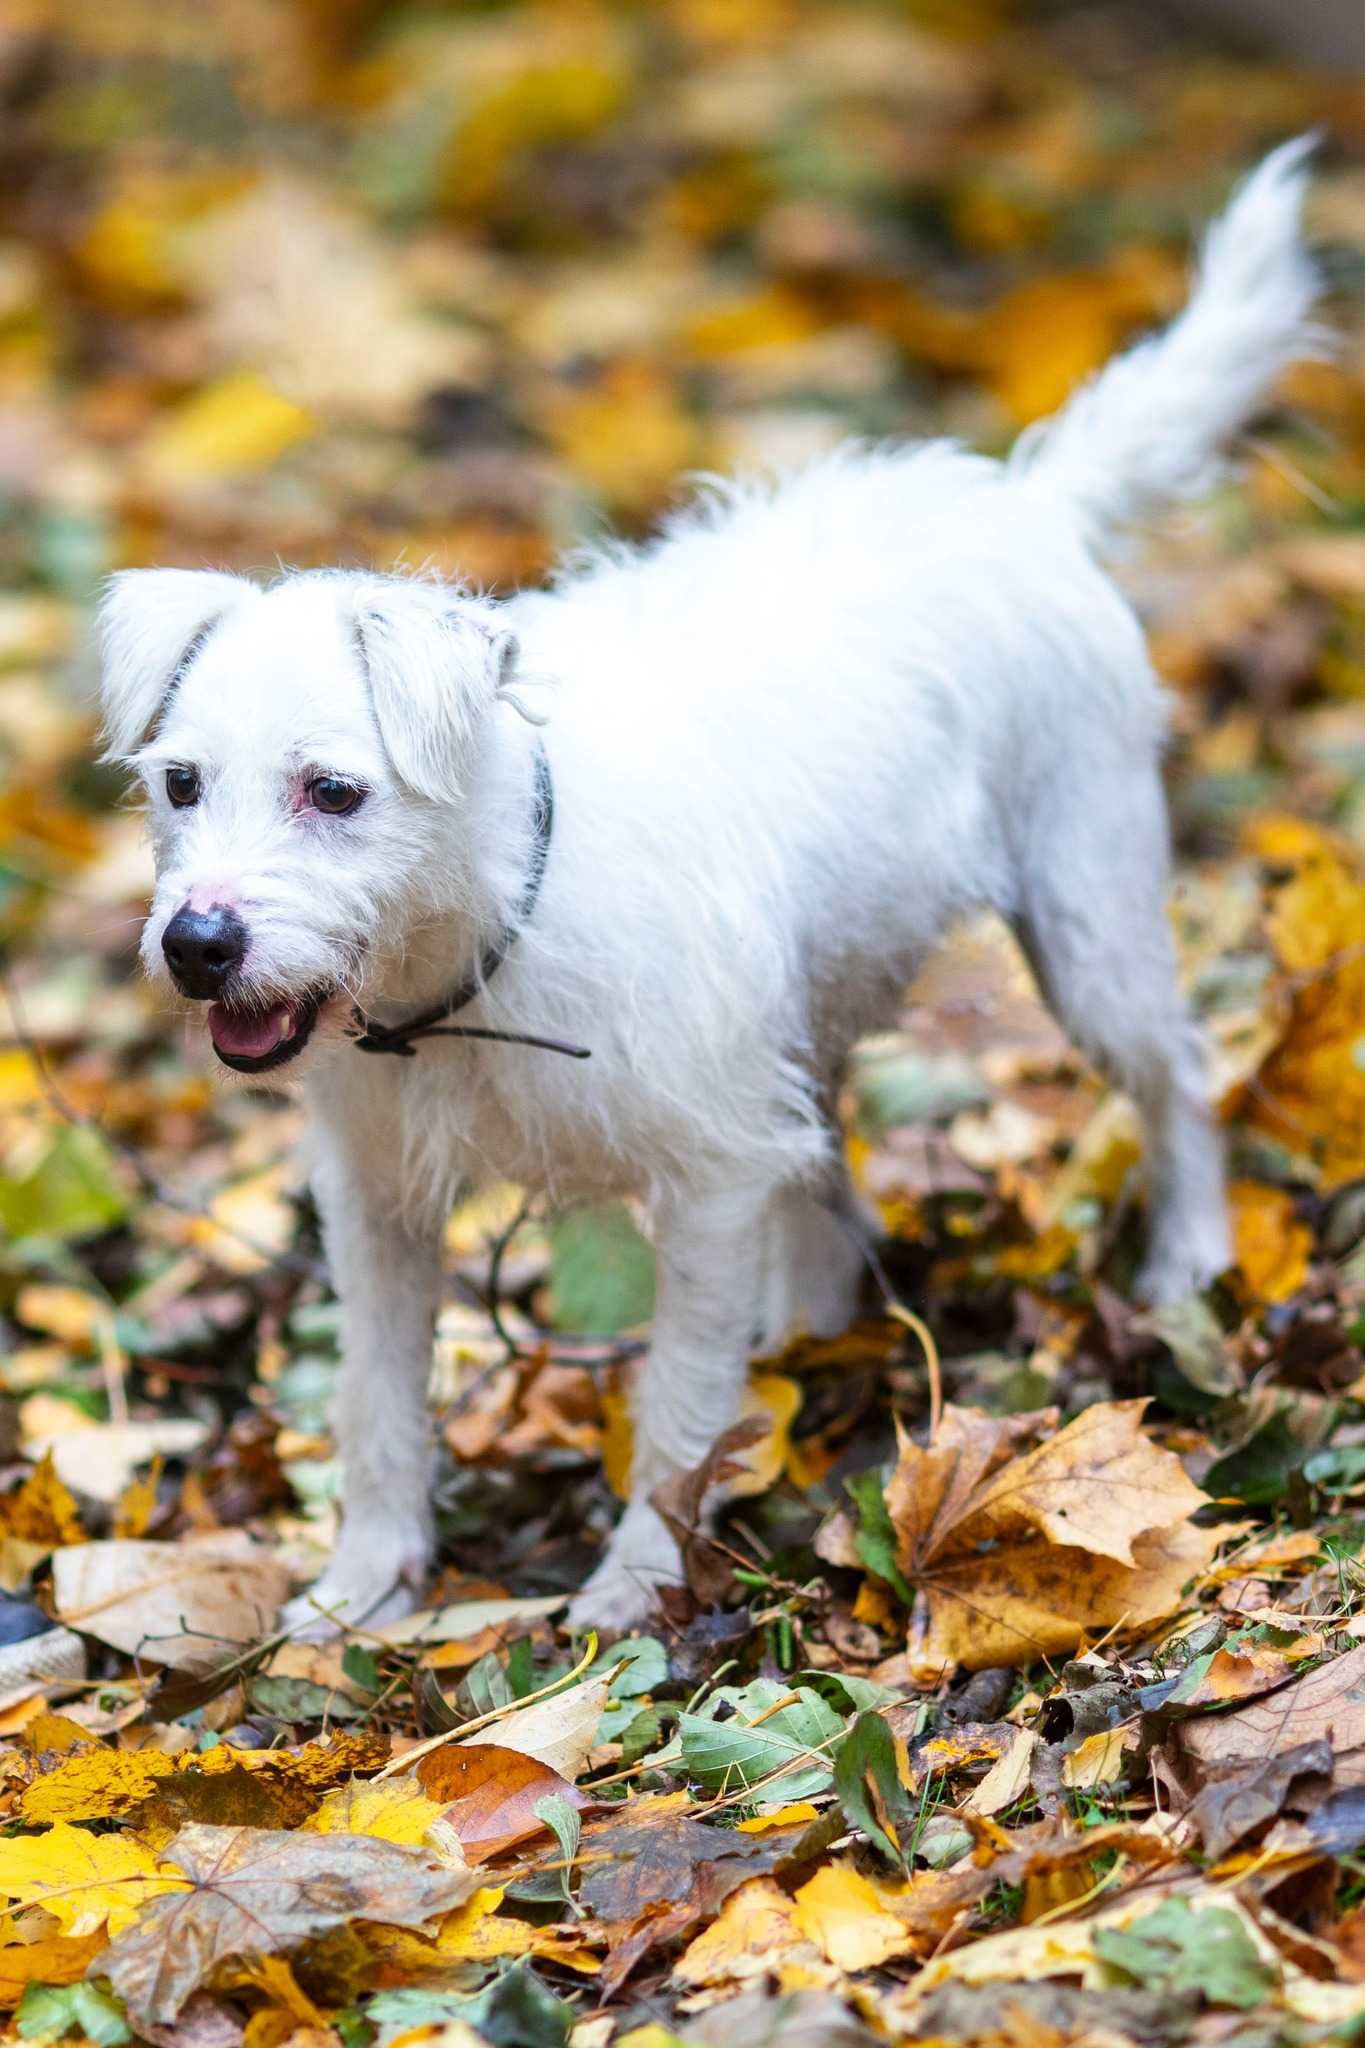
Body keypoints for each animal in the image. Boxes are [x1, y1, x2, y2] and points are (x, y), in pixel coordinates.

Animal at [101, 140, 1317, 1630]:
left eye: (334, 792)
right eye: (179, 784)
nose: (198, 944)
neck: (489, 936)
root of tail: (1020, 501)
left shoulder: (707, 1175)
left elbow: (679, 1408)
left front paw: (635, 1586)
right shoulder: (380, 1202)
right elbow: (378, 1405)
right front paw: (360, 1587)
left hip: (1088, 921)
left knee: (1177, 1068)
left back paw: (1191, 1254)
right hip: (808, 1011)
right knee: (830, 1171)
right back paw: (813, 1327)